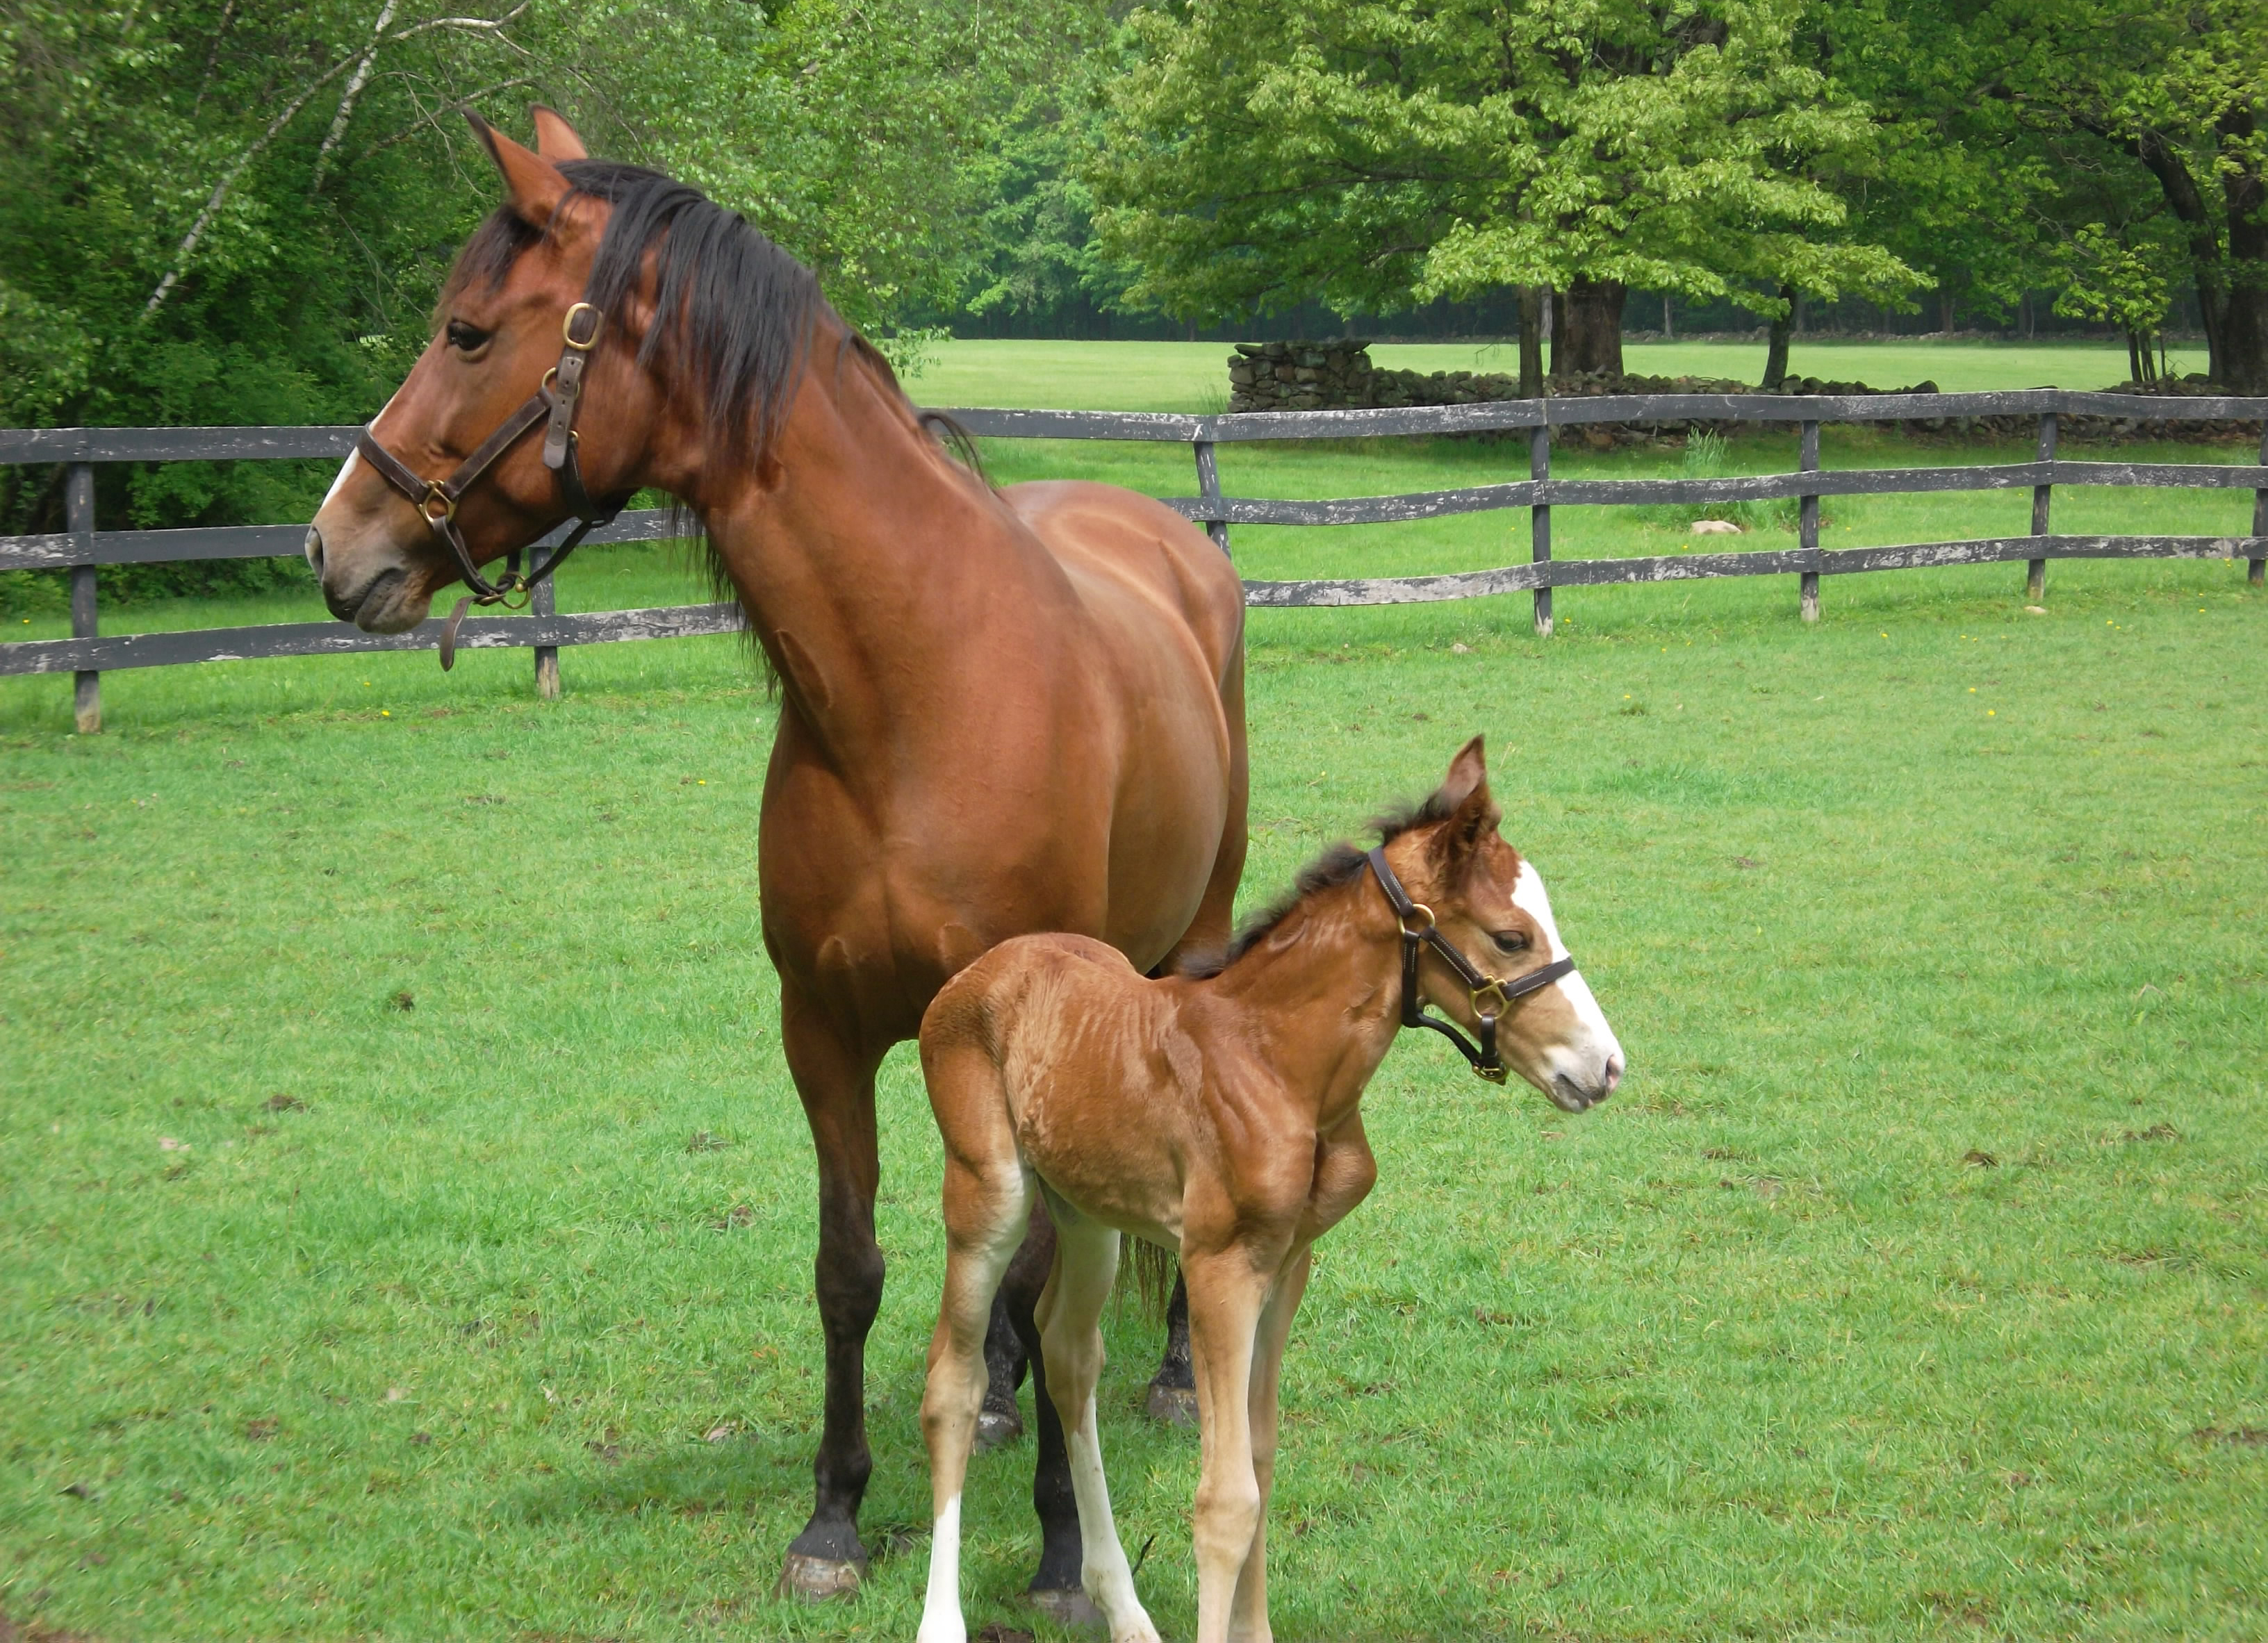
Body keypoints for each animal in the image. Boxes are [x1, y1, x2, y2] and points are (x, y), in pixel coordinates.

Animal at [912, 743, 1624, 1640]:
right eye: (1510, 935)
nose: (1605, 1065)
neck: (1278, 1062)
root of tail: (978, 970)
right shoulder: (1220, 1263)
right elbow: (1226, 1497)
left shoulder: (1289, 1263)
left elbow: (1259, 1452)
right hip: (990, 1193)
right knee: (954, 1381)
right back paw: (944, 1620)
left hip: (1087, 1213)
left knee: (1070, 1356)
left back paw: (1125, 1609)